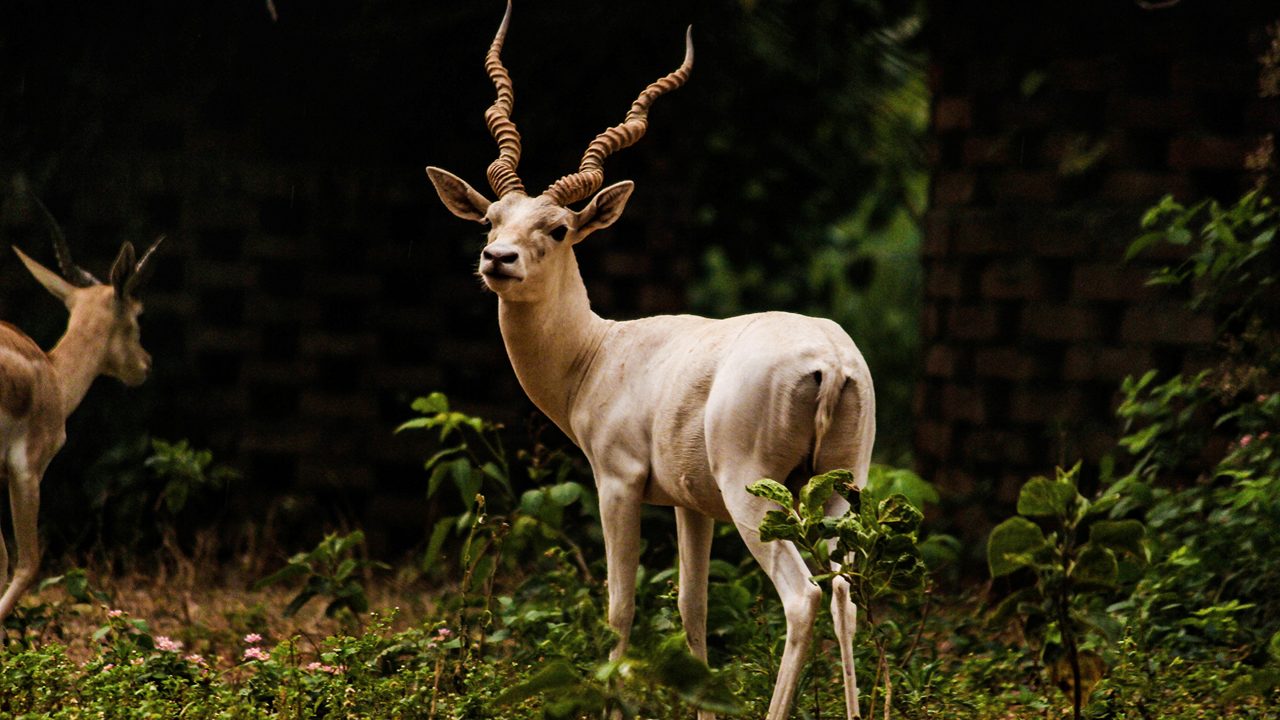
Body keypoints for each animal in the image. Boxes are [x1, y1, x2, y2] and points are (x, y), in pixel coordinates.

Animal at [424, 2, 875, 712]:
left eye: (559, 228)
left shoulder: (618, 482)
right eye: (491, 218)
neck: (598, 354)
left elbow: (619, 608)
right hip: (841, 487)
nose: (497, 260)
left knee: (802, 598)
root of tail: (829, 361)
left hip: (757, 497)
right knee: (844, 596)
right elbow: (693, 611)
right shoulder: (691, 505)